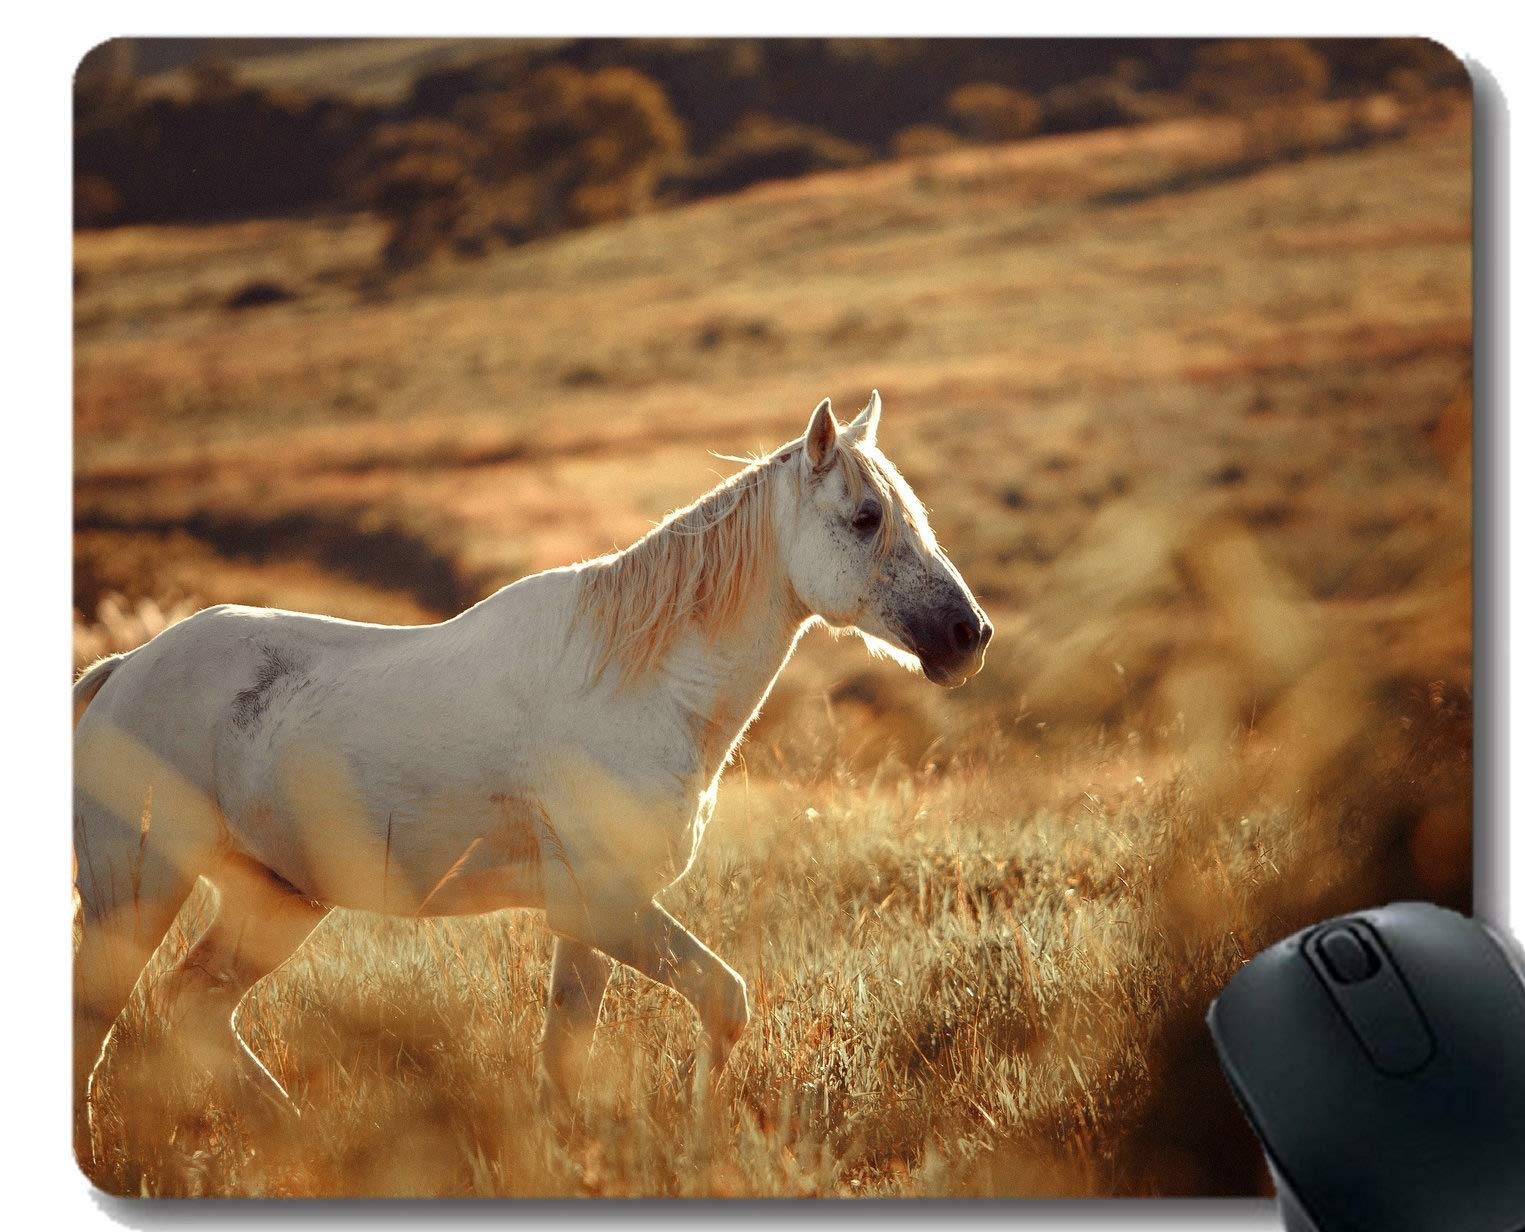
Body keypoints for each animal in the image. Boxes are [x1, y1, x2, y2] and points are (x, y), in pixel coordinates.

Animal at [72, 391, 993, 1157]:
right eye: (866, 517)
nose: (968, 636)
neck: (639, 684)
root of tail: (122, 673)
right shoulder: (606, 904)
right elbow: (723, 1000)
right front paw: (701, 1141)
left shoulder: (587, 922)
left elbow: (566, 1056)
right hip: (138, 888)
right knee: (99, 1022)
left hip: (274, 899)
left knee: (193, 1009)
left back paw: (303, 1141)